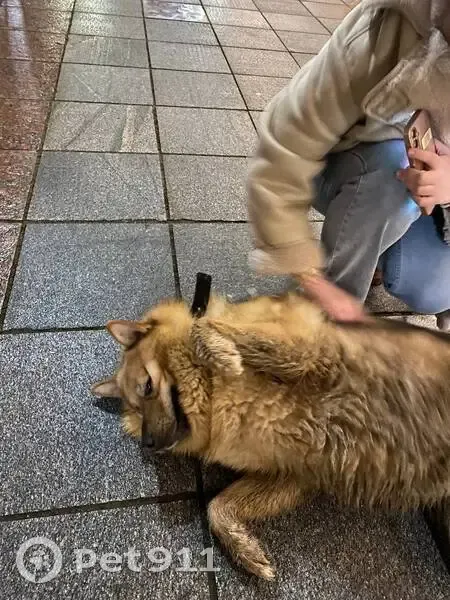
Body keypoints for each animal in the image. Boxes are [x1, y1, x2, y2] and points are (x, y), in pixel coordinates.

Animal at [92, 291, 450, 580]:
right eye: (136, 413)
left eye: (147, 387)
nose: (149, 445)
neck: (215, 393)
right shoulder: (295, 473)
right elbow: (217, 507)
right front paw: (244, 549)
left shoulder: (311, 348)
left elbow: (202, 327)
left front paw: (221, 350)